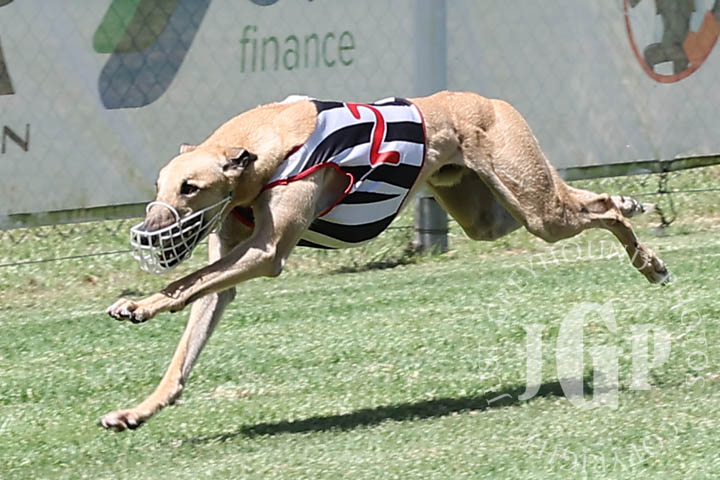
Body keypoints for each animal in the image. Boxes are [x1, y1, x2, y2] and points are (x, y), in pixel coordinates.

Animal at [100, 91, 669, 431]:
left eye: (191, 188)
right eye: (159, 186)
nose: (148, 235)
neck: (261, 148)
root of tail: (489, 100)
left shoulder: (265, 251)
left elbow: (188, 282)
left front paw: (138, 306)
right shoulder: (230, 261)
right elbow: (192, 327)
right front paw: (137, 410)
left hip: (533, 208)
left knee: (588, 209)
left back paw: (649, 260)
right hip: (492, 213)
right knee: (588, 199)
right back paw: (630, 205)